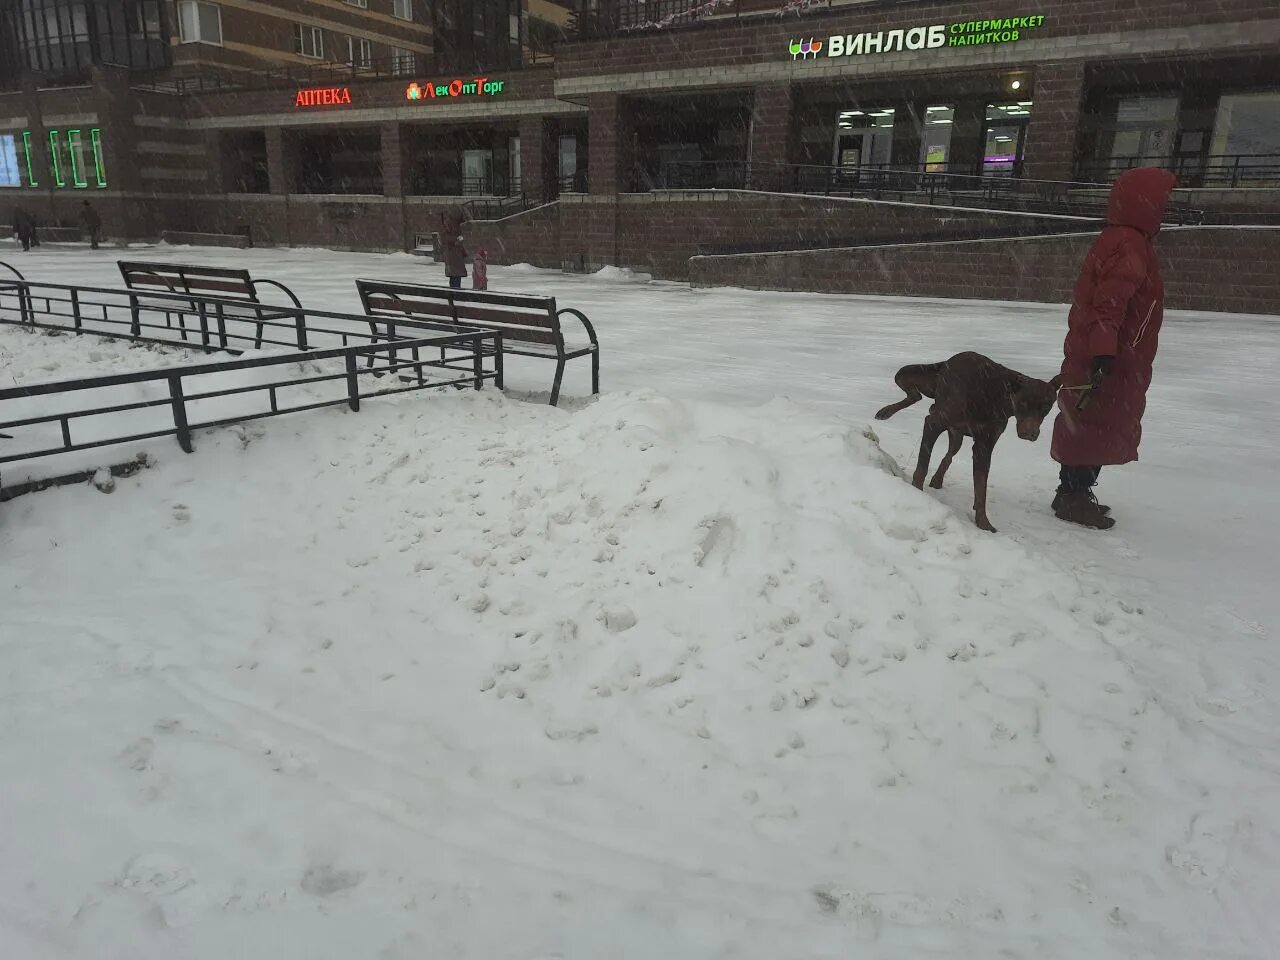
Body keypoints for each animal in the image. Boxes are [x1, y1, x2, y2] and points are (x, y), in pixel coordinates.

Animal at [880, 353, 1059, 535]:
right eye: (1023, 402)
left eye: (1046, 406)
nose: (1030, 434)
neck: (993, 396)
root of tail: (948, 362)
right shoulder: (934, 423)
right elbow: (922, 465)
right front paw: (918, 493)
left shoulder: (985, 443)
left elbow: (981, 487)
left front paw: (983, 521)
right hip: (907, 373)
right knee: (915, 395)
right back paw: (886, 411)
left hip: (956, 434)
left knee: (949, 454)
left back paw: (937, 479)